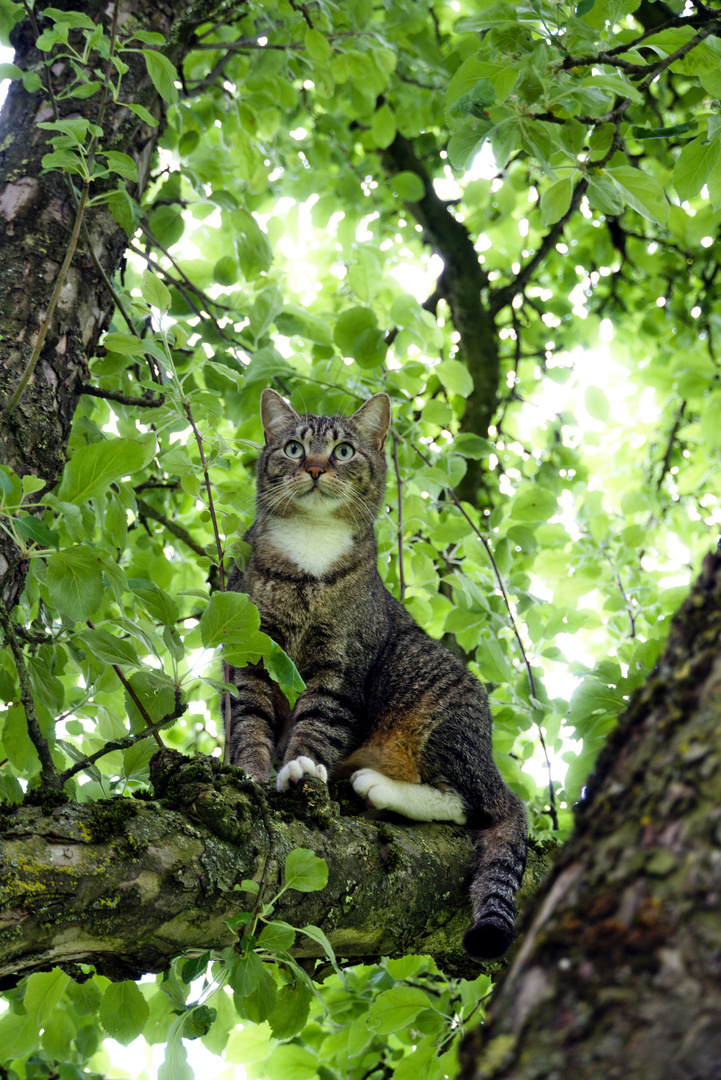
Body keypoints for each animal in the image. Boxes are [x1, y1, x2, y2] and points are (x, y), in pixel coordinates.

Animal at [227, 384, 526, 959]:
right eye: (295, 448)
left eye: (343, 451)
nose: (316, 467)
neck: (311, 552)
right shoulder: (251, 657)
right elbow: (249, 722)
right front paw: (248, 773)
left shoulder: (341, 667)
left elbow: (319, 722)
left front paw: (300, 767)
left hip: (428, 693)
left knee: (477, 806)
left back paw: (377, 785)